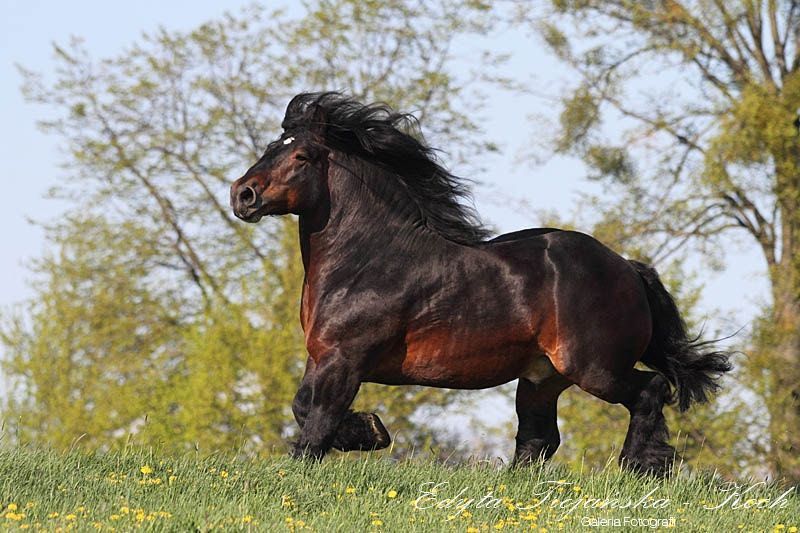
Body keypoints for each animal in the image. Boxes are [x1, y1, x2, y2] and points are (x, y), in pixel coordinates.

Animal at [230, 91, 732, 474]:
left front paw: (346, 444)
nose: (243, 195)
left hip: (594, 368)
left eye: (300, 155)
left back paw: (638, 466)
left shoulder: (345, 358)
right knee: (538, 440)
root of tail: (629, 269)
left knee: (648, 392)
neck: (371, 261)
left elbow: (316, 420)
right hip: (541, 378)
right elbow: (302, 406)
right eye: (272, 145)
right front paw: (371, 430)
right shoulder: (322, 356)